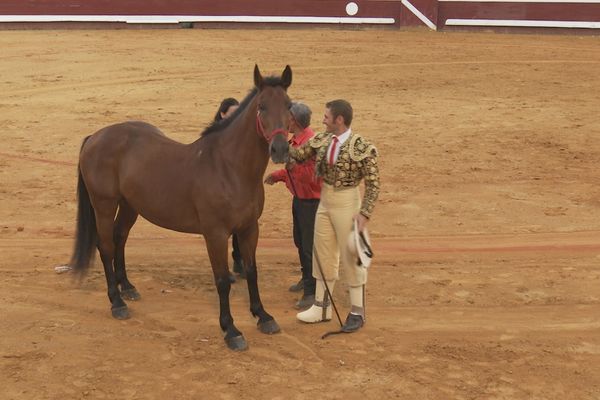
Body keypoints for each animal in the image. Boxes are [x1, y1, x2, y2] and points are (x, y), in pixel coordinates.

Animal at [69, 65, 292, 350]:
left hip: (130, 206)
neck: (228, 168)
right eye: (261, 107)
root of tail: (95, 137)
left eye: (289, 105)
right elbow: (222, 280)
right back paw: (116, 302)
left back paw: (127, 287)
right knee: (106, 246)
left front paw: (263, 316)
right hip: (104, 205)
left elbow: (252, 272)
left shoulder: (249, 229)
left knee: (120, 239)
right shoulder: (215, 234)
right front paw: (231, 330)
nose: (280, 149)